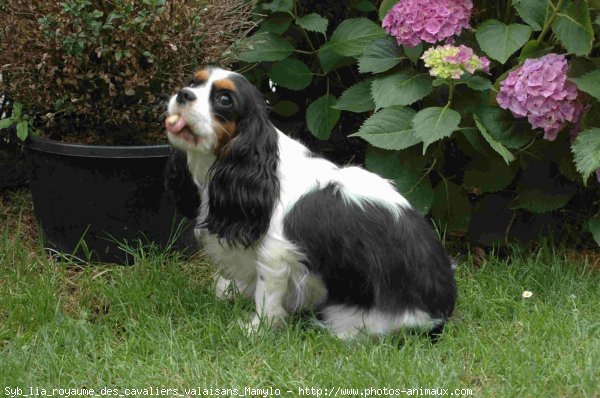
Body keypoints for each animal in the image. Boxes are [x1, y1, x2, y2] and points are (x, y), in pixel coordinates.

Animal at [164, 67, 454, 338]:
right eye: (193, 82)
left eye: (224, 99)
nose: (183, 94)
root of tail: (443, 312)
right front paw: (232, 290)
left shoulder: (275, 253)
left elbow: (266, 294)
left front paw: (256, 329)